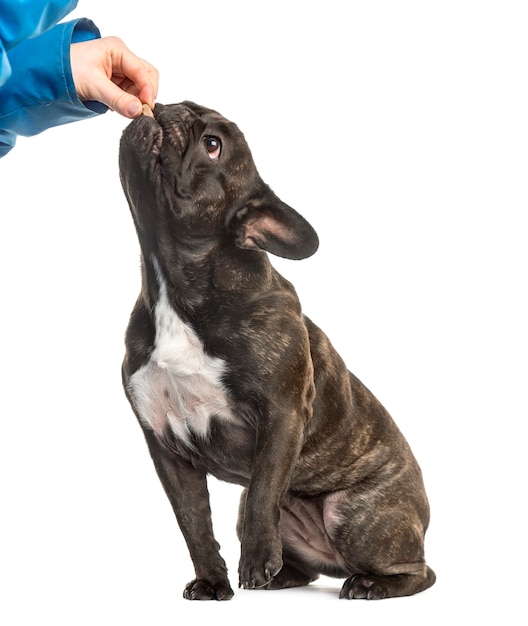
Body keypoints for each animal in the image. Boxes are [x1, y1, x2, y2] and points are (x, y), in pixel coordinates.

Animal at [117, 102, 436, 600]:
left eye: (213, 145)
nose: (168, 107)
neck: (174, 285)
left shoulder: (281, 414)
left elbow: (265, 489)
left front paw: (254, 563)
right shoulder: (165, 445)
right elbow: (193, 522)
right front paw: (212, 582)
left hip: (356, 515)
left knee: (418, 571)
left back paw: (368, 584)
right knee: (298, 560)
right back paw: (284, 575)